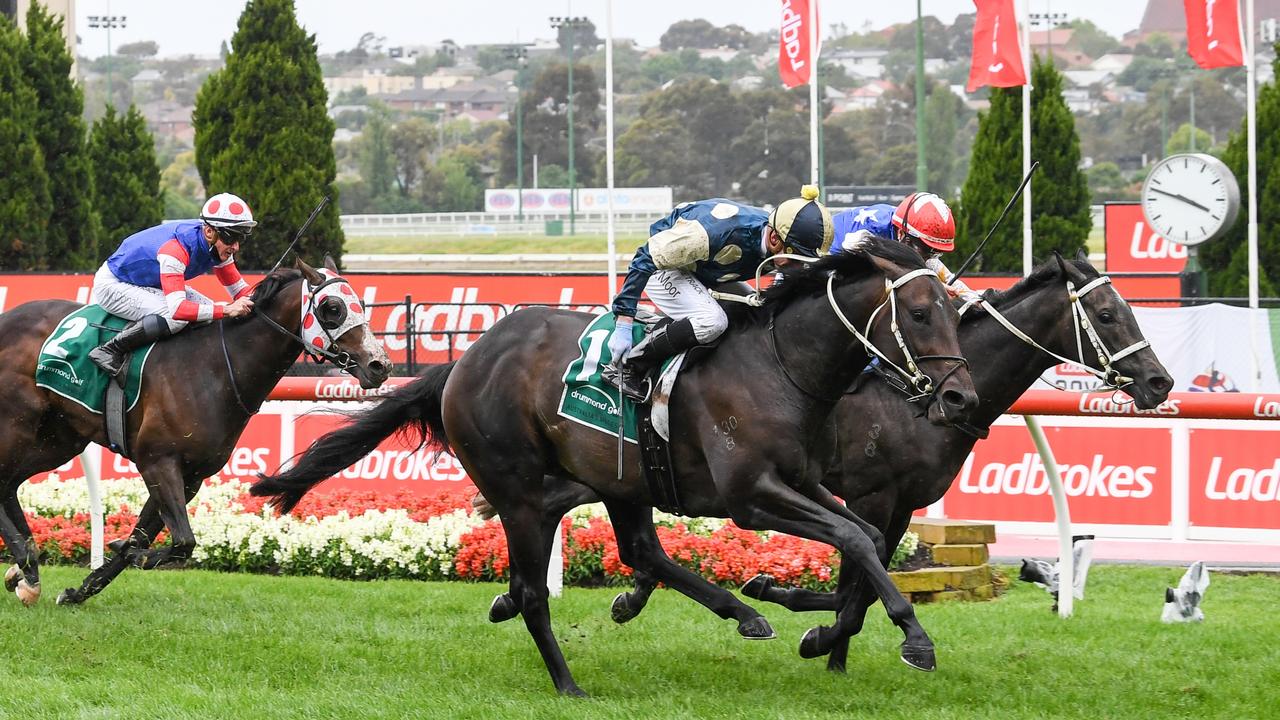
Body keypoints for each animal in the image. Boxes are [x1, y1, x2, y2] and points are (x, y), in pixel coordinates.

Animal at [0, 254, 389, 602]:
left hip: (58, 439)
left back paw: (26, 569)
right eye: (333, 308)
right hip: (20, 427)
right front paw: (125, 550)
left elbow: (151, 537)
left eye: (361, 305)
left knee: (8, 484)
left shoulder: (191, 474)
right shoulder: (157, 461)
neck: (215, 367)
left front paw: (83, 587)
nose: (380, 365)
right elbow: (182, 541)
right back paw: (25, 565)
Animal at [252, 237, 977, 696]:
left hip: (623, 478)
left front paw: (821, 625)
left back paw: (736, 612)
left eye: (955, 313)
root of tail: (463, 363)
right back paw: (568, 682)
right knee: (540, 591)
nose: (960, 398)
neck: (779, 366)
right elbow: (857, 538)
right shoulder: (753, 495)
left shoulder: (802, 482)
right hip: (517, 486)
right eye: (919, 314)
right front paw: (913, 638)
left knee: (637, 550)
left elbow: (866, 542)